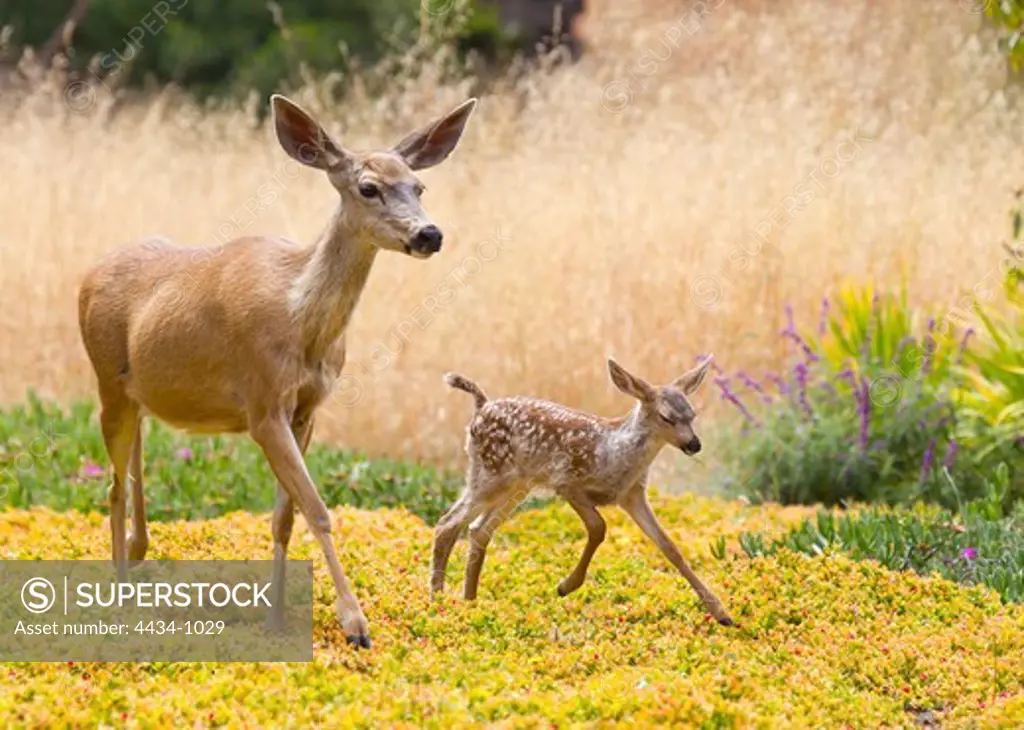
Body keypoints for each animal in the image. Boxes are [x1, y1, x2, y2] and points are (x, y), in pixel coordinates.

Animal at [77, 92, 477, 651]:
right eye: (368, 187)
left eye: (419, 186)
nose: (429, 234)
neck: (300, 320)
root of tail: (87, 277)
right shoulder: (263, 403)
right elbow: (317, 508)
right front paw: (355, 625)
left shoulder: (308, 408)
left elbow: (285, 517)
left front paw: (277, 620)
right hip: (104, 379)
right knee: (112, 486)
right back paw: (117, 599)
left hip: (138, 394)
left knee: (132, 466)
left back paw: (136, 562)